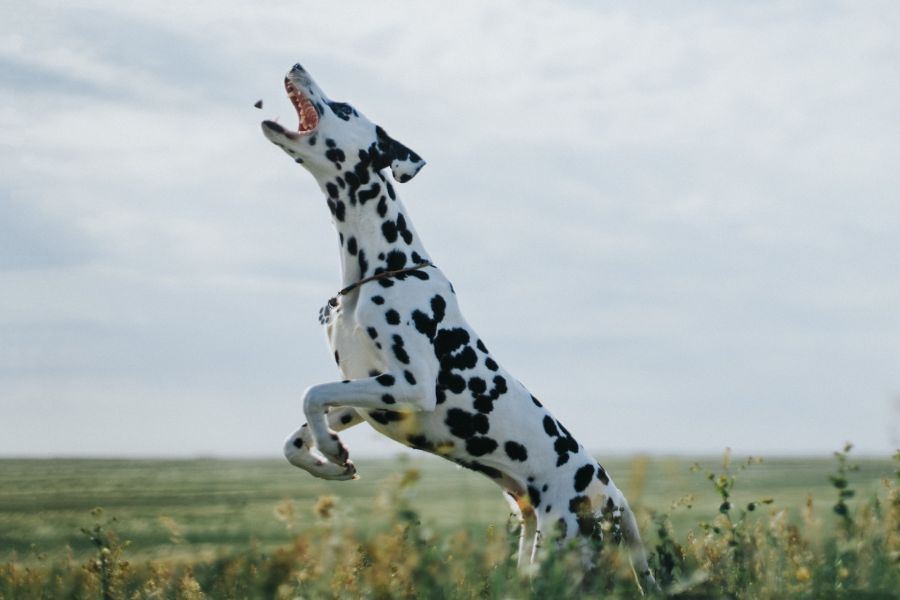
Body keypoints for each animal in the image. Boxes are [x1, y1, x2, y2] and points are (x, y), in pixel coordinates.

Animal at [262, 64, 660, 592]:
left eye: (345, 108)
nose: (297, 66)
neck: (383, 267)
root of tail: (612, 496)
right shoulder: (368, 393)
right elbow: (298, 430)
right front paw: (329, 460)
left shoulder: (409, 386)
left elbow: (311, 393)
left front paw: (328, 448)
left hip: (563, 553)